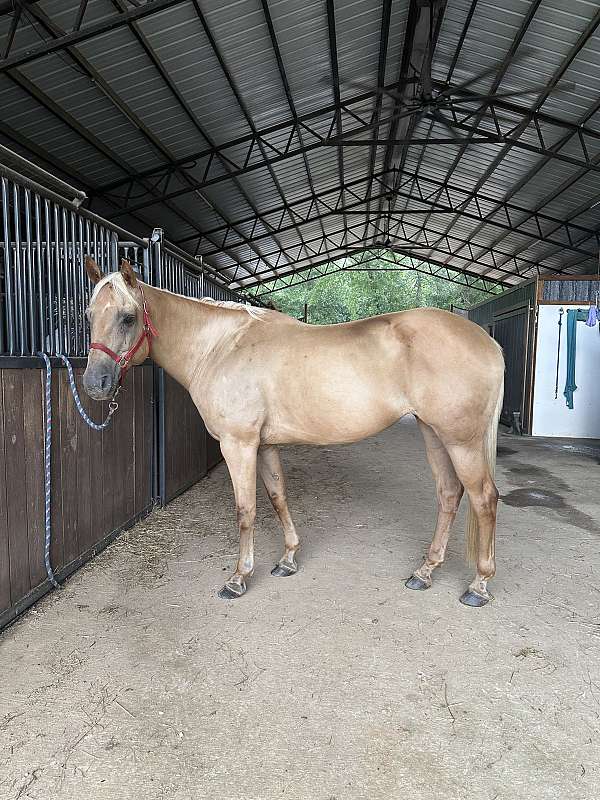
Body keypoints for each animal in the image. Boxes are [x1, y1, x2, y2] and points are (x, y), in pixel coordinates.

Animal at [83, 257, 504, 608]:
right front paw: (287, 559)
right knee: (449, 494)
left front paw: (238, 578)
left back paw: (479, 586)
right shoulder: (265, 445)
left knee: (484, 498)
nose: (95, 384)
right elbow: (277, 497)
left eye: (128, 317)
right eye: (89, 314)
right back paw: (425, 572)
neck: (220, 348)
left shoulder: (239, 445)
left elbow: (246, 510)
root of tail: (487, 340)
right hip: (433, 433)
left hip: (461, 441)